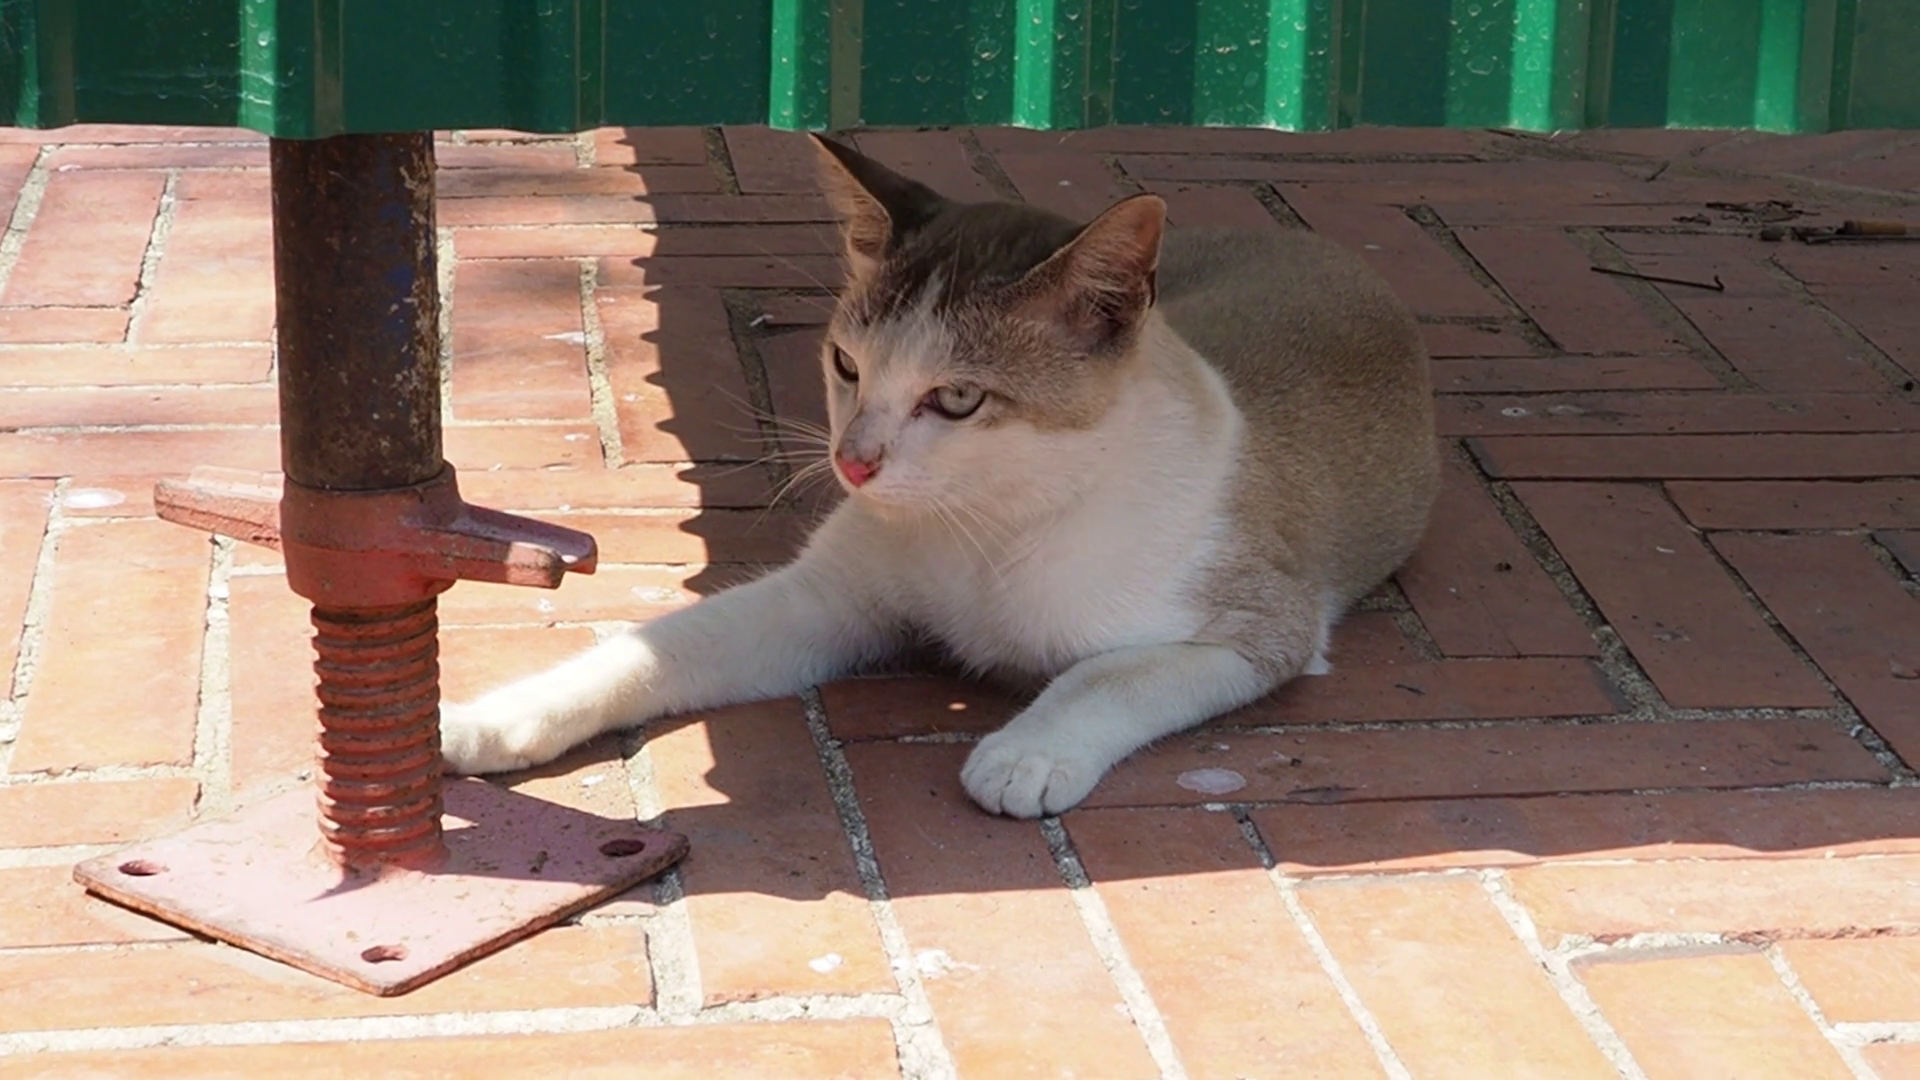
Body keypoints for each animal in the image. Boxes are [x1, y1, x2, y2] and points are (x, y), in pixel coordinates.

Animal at [439, 133, 1440, 819]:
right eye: (846, 365)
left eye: (956, 398)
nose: (853, 460)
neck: (990, 521)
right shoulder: (825, 600)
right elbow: (655, 649)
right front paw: (497, 716)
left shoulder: (1259, 632)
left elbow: (1106, 678)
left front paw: (1028, 754)